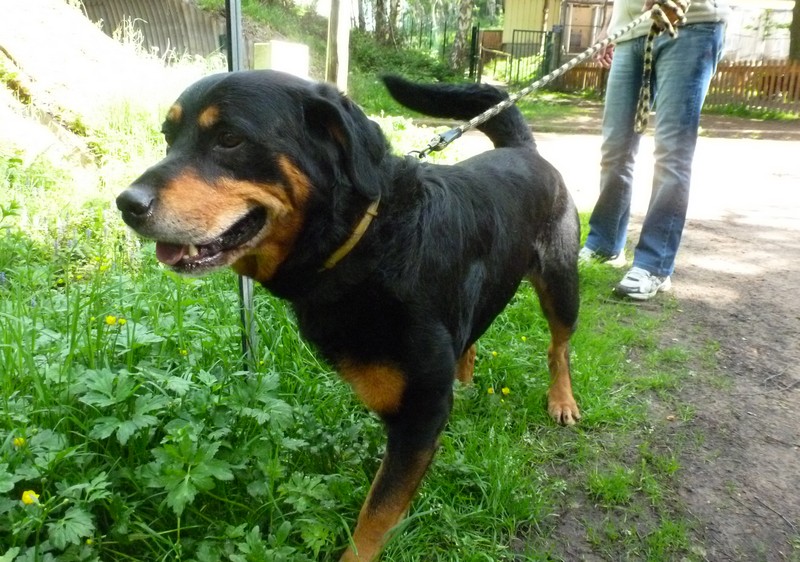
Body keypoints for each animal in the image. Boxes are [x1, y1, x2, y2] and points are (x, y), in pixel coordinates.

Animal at [117, 71, 580, 560]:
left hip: (561, 283)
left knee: (560, 346)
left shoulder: (420, 414)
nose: (126, 203)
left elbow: (377, 512)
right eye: (168, 139)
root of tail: (526, 150)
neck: (366, 242)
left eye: (229, 139)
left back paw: (562, 400)